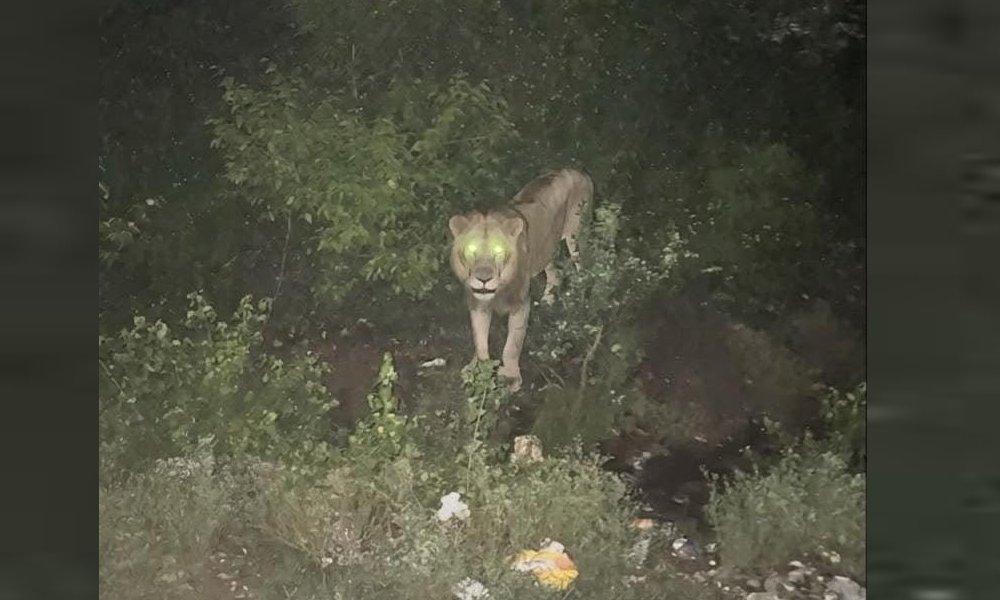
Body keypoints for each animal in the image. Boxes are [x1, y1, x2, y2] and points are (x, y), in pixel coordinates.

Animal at [447, 168, 593, 392]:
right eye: (471, 250)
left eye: (499, 251)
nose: (483, 279)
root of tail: (580, 171)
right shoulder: (478, 303)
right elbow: (479, 339)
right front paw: (478, 370)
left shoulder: (520, 304)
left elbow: (512, 344)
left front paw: (510, 378)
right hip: (546, 250)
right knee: (556, 274)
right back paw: (548, 300)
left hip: (577, 237)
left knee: (585, 269)